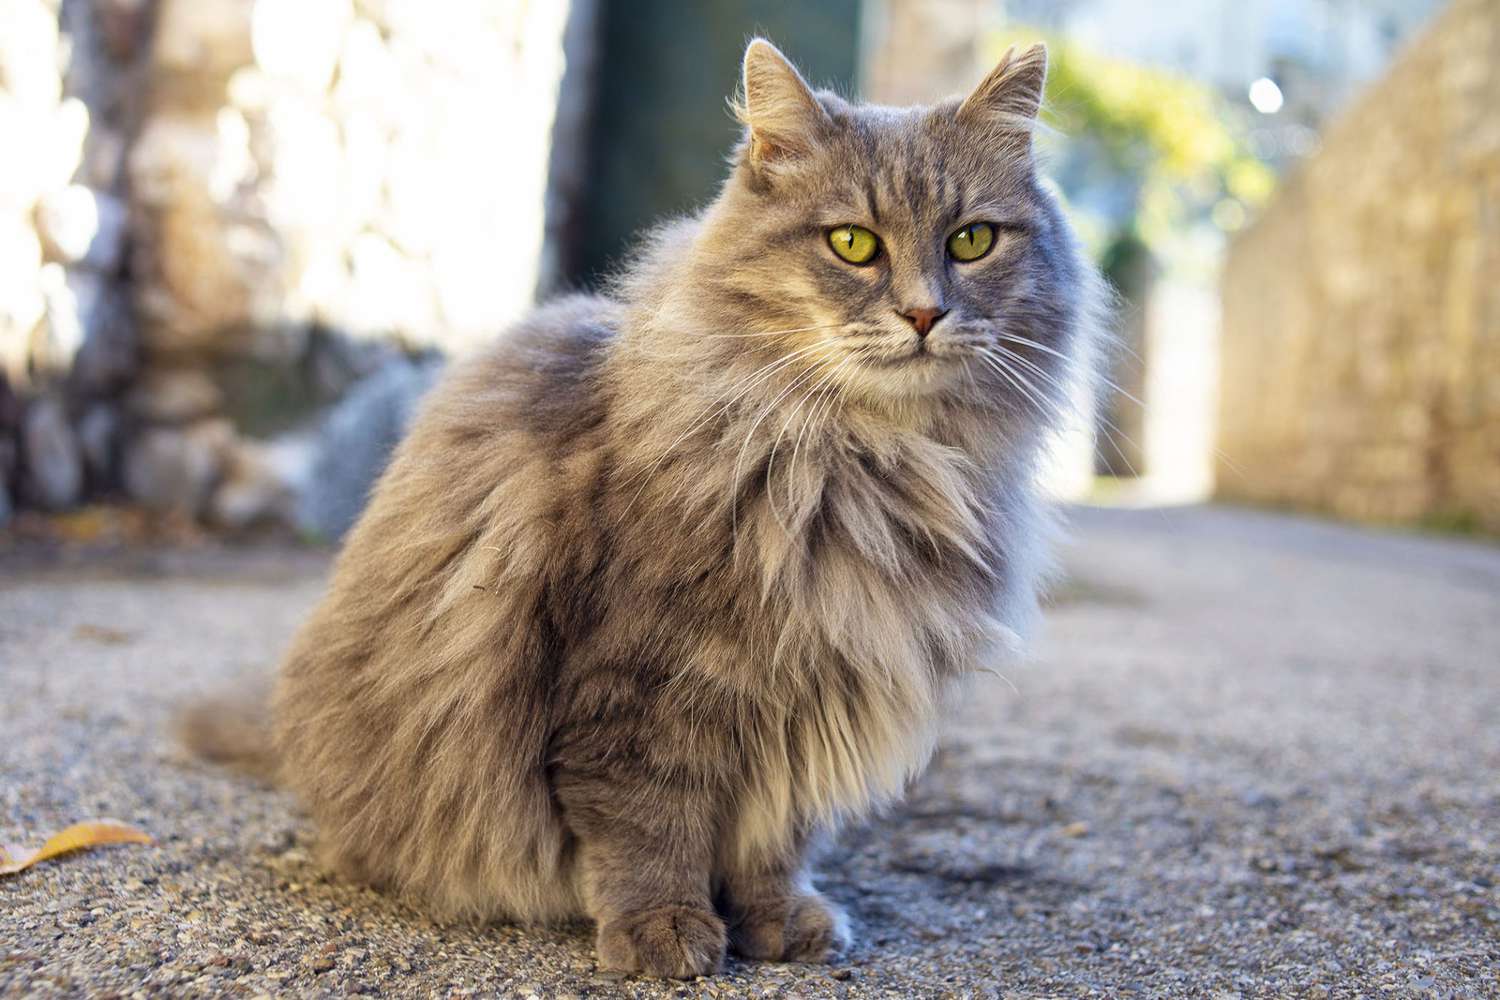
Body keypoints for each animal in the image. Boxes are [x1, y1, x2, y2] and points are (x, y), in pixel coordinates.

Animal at [193, 39, 1098, 977]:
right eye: (853, 243)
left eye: (971, 241)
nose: (924, 313)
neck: (871, 468)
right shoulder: (639, 684)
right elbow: (648, 827)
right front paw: (664, 927)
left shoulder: (810, 692)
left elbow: (775, 835)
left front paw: (778, 917)